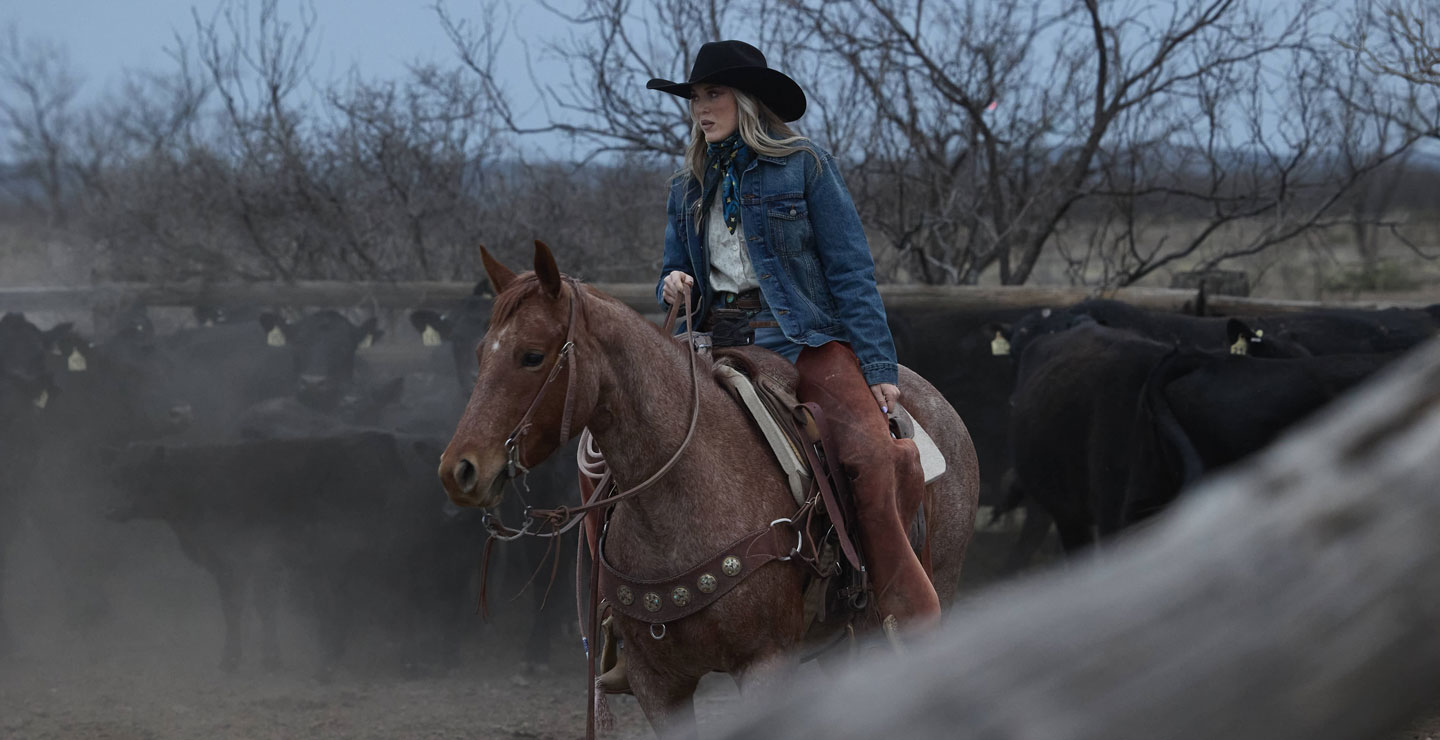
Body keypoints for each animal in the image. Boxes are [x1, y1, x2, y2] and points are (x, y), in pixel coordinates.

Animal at [437, 240, 979, 731]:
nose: (458, 469)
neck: (680, 503)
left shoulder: (766, 663)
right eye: (481, 352)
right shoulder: (657, 682)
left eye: (532, 356)